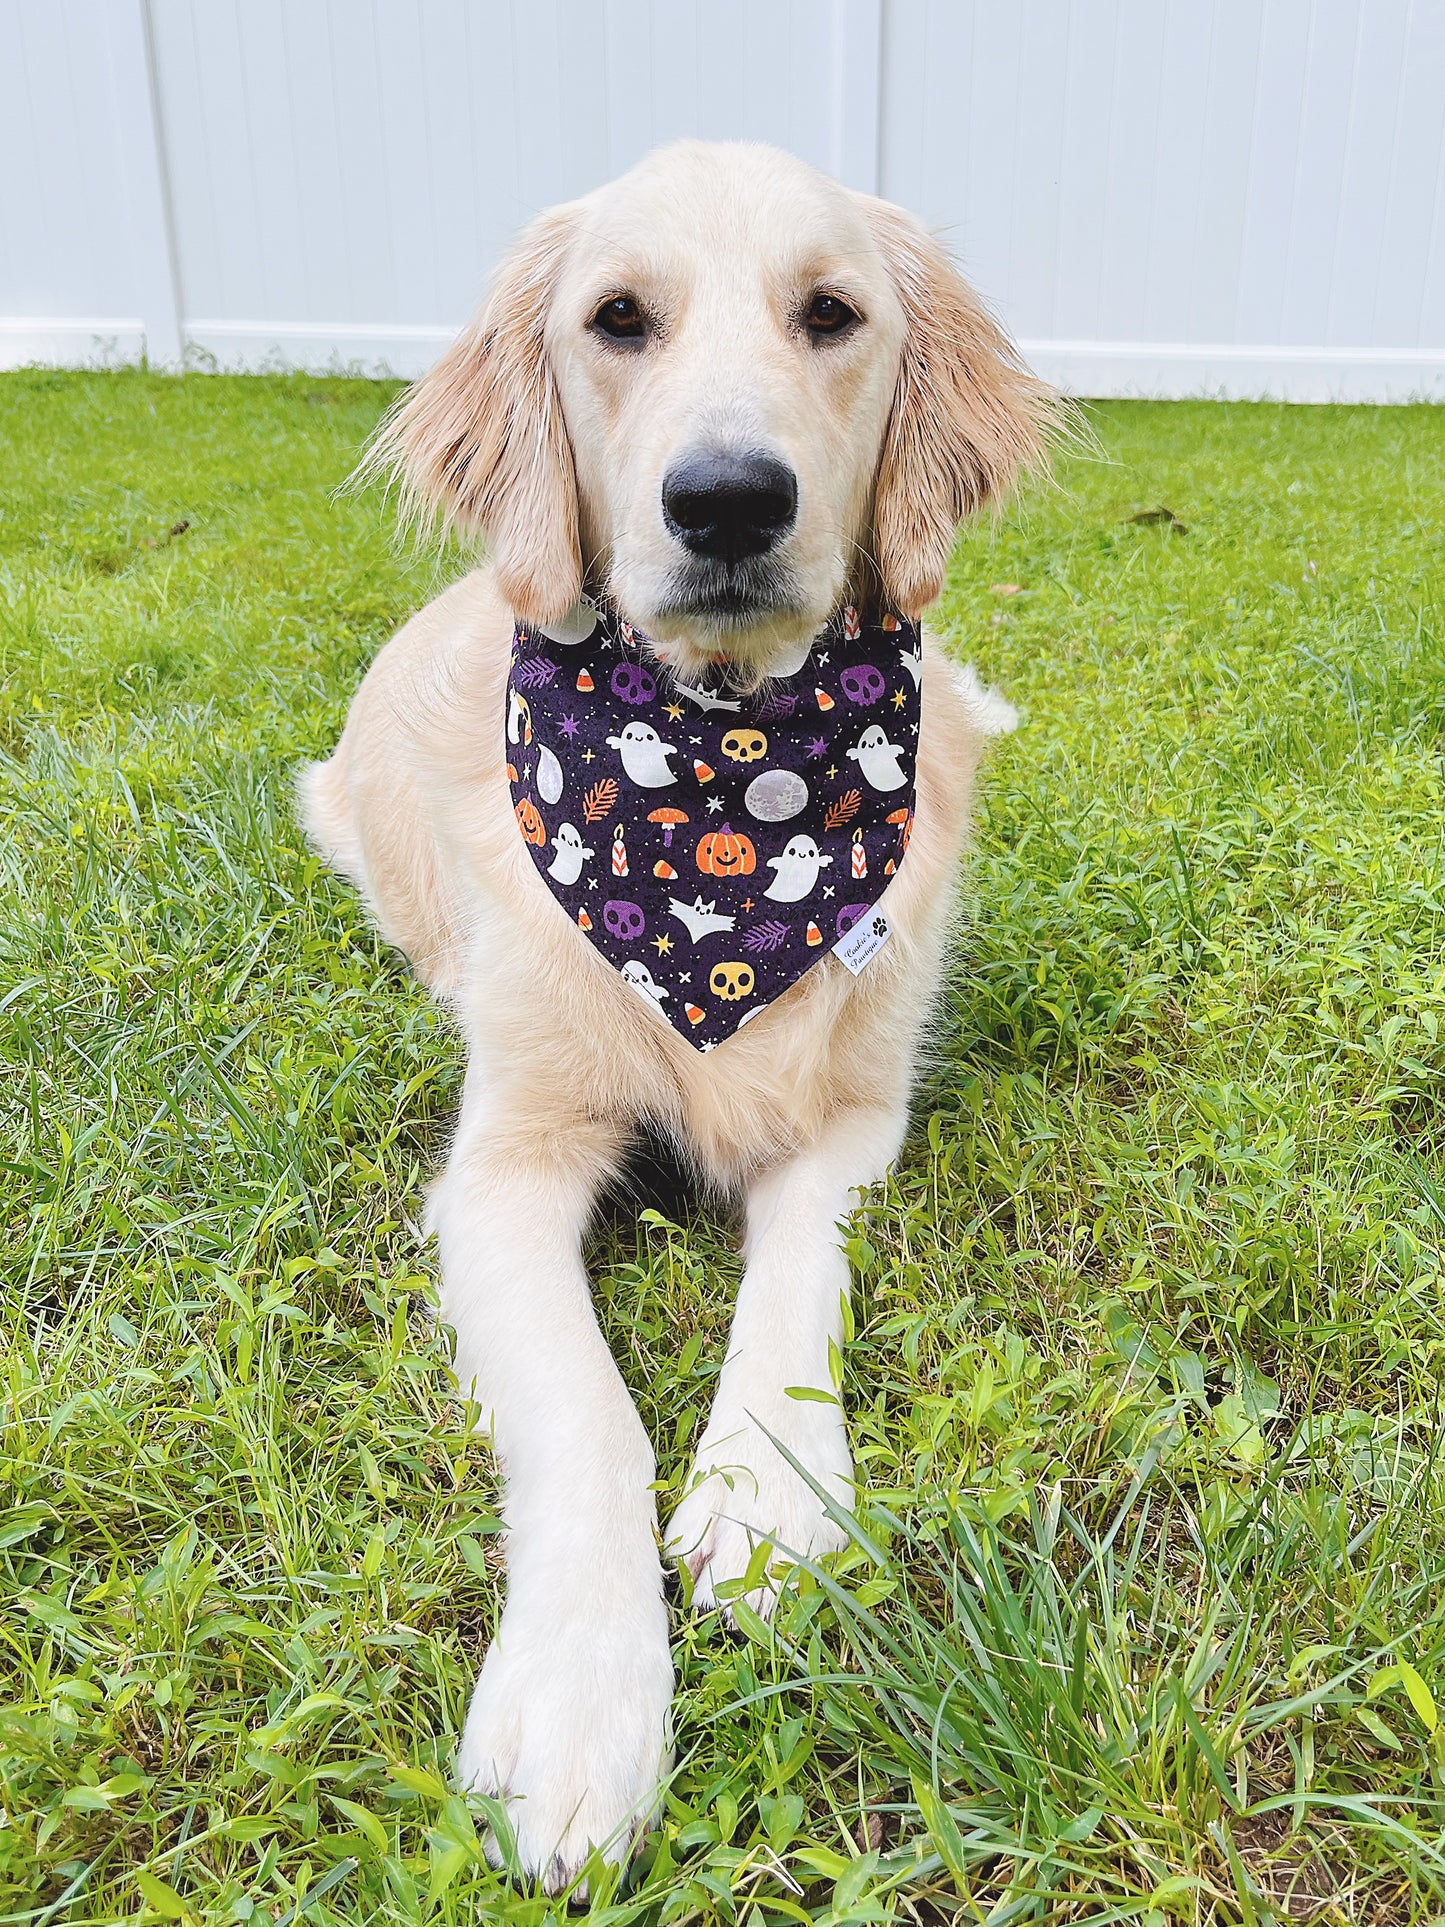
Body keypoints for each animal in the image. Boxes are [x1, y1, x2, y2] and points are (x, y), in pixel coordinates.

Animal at [302, 142, 1055, 1888]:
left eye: (830, 312)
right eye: (617, 319)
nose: (725, 499)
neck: (722, 768)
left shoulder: (853, 1118)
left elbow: (790, 1294)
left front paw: (766, 1503)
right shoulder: (502, 1163)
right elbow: (584, 1412)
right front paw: (581, 1701)